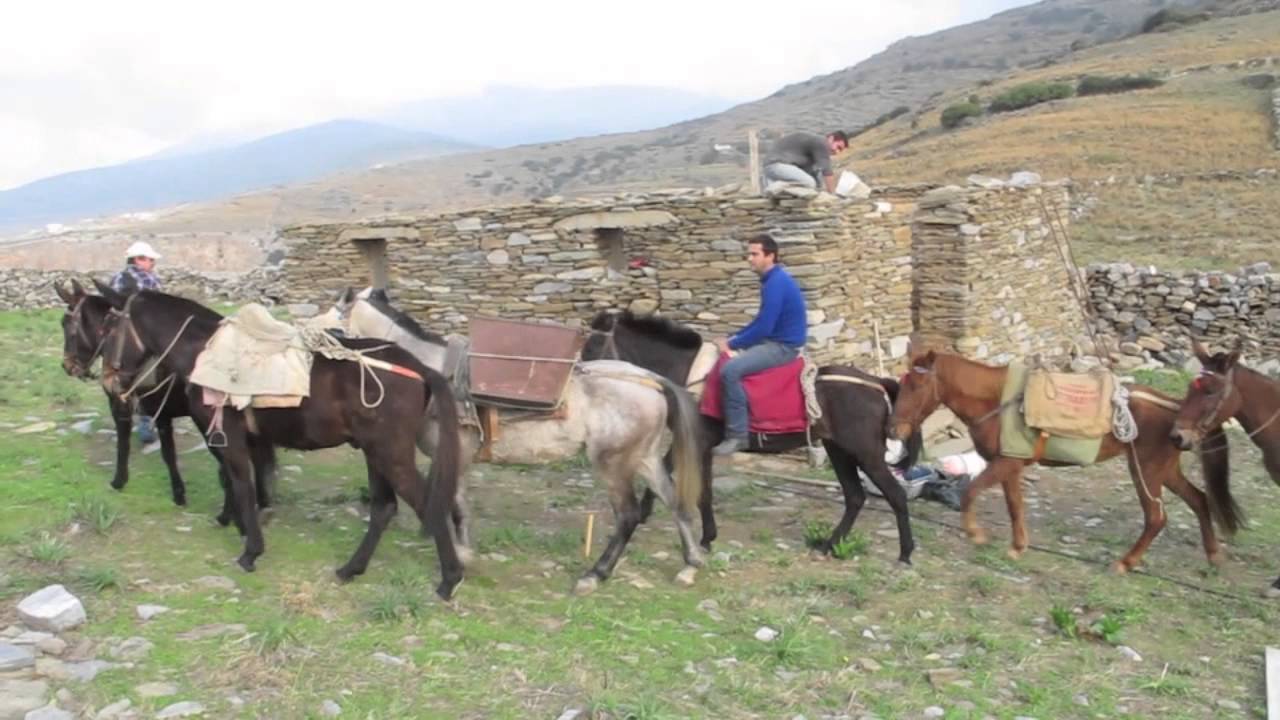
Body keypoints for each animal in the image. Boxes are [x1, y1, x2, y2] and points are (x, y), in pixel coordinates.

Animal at [56, 280, 276, 523]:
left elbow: (124, 444)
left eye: (66, 324)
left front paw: (119, 481)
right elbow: (169, 454)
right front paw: (178, 493)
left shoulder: (120, 406)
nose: (68, 366)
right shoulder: (162, 415)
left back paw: (230, 513)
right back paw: (261, 502)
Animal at [94, 285, 466, 600]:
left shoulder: (227, 438)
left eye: (110, 330)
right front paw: (242, 525)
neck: (204, 352)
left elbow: (241, 484)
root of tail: (419, 368)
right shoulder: (249, 439)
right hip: (374, 453)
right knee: (384, 508)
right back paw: (351, 569)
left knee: (426, 504)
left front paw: (250, 551)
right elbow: (243, 480)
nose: (109, 382)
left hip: (389, 453)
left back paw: (450, 578)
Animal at [322, 288, 706, 595]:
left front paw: (460, 556)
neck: (436, 372)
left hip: (614, 464)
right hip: (645, 458)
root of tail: (653, 381)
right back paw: (690, 565)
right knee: (675, 503)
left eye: (330, 325)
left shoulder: (458, 454)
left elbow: (455, 505)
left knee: (628, 515)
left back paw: (594, 575)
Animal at [582, 309, 924, 565]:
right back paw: (829, 544)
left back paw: (905, 553)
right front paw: (647, 514)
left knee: (895, 495)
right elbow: (669, 472)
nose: (580, 373)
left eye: (592, 346)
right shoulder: (695, 442)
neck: (691, 374)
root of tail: (876, 383)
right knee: (855, 497)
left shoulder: (701, 444)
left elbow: (702, 491)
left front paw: (705, 538)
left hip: (865, 454)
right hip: (839, 450)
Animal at [889, 348, 1232, 573]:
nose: (894, 429)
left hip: (1146, 471)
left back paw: (1125, 562)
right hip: (1164, 470)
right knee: (1199, 500)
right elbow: (1015, 507)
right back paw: (1214, 555)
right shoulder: (1011, 465)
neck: (999, 402)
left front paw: (975, 533)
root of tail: (1177, 409)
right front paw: (1018, 546)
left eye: (916, 385)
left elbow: (971, 492)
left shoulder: (1004, 464)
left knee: (1157, 517)